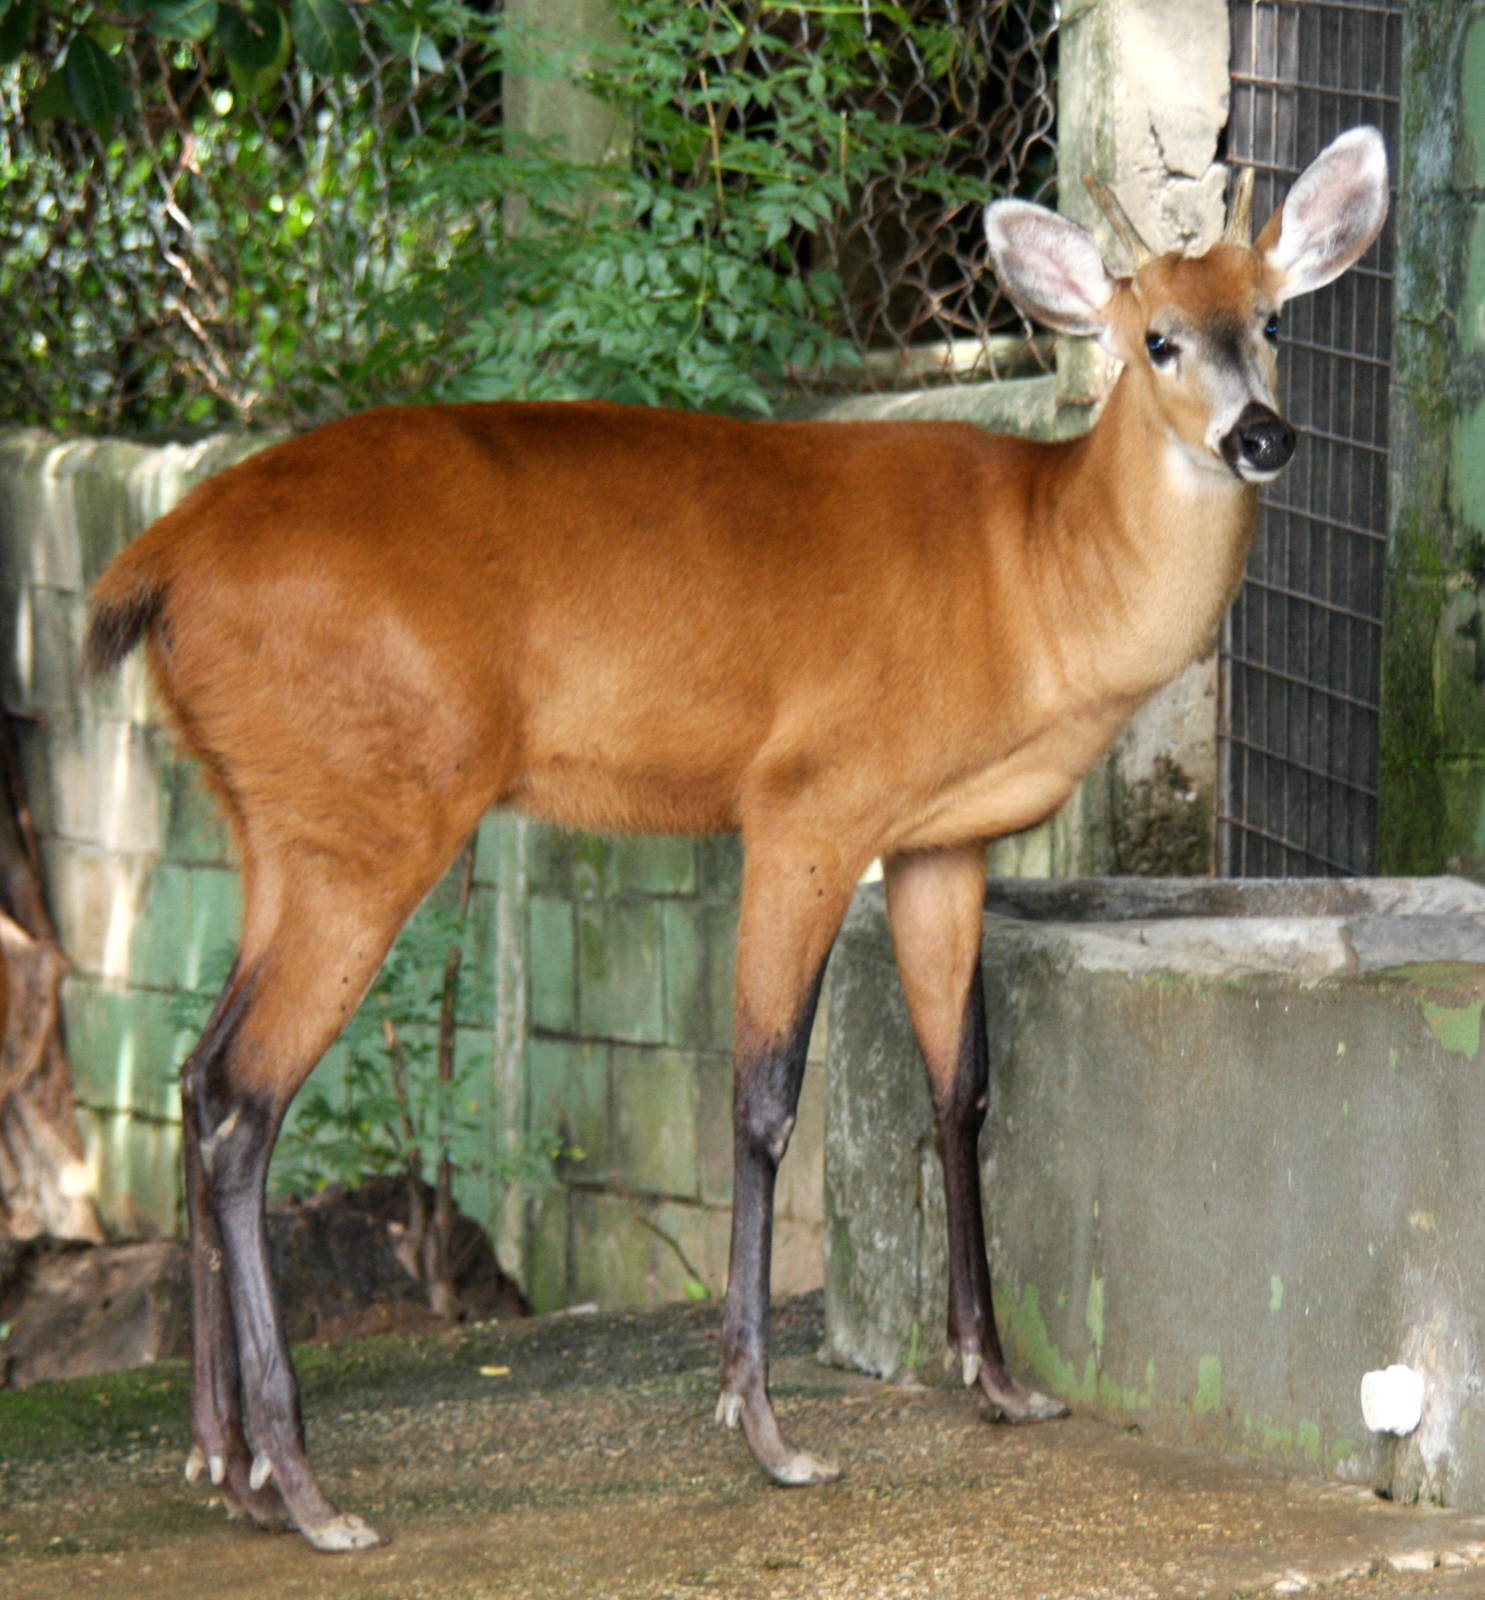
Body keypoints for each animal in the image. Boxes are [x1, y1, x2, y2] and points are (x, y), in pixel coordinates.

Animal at [83, 125, 1388, 1551]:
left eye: (1272, 318)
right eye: (1155, 337)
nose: (1262, 434)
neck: (1042, 579)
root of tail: (149, 567)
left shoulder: (941, 839)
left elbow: (962, 1084)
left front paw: (998, 1381)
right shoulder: (810, 799)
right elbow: (763, 1098)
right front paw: (766, 1427)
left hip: (272, 818)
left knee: (197, 1073)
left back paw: (226, 1465)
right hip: (376, 808)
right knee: (246, 1102)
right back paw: (308, 1486)